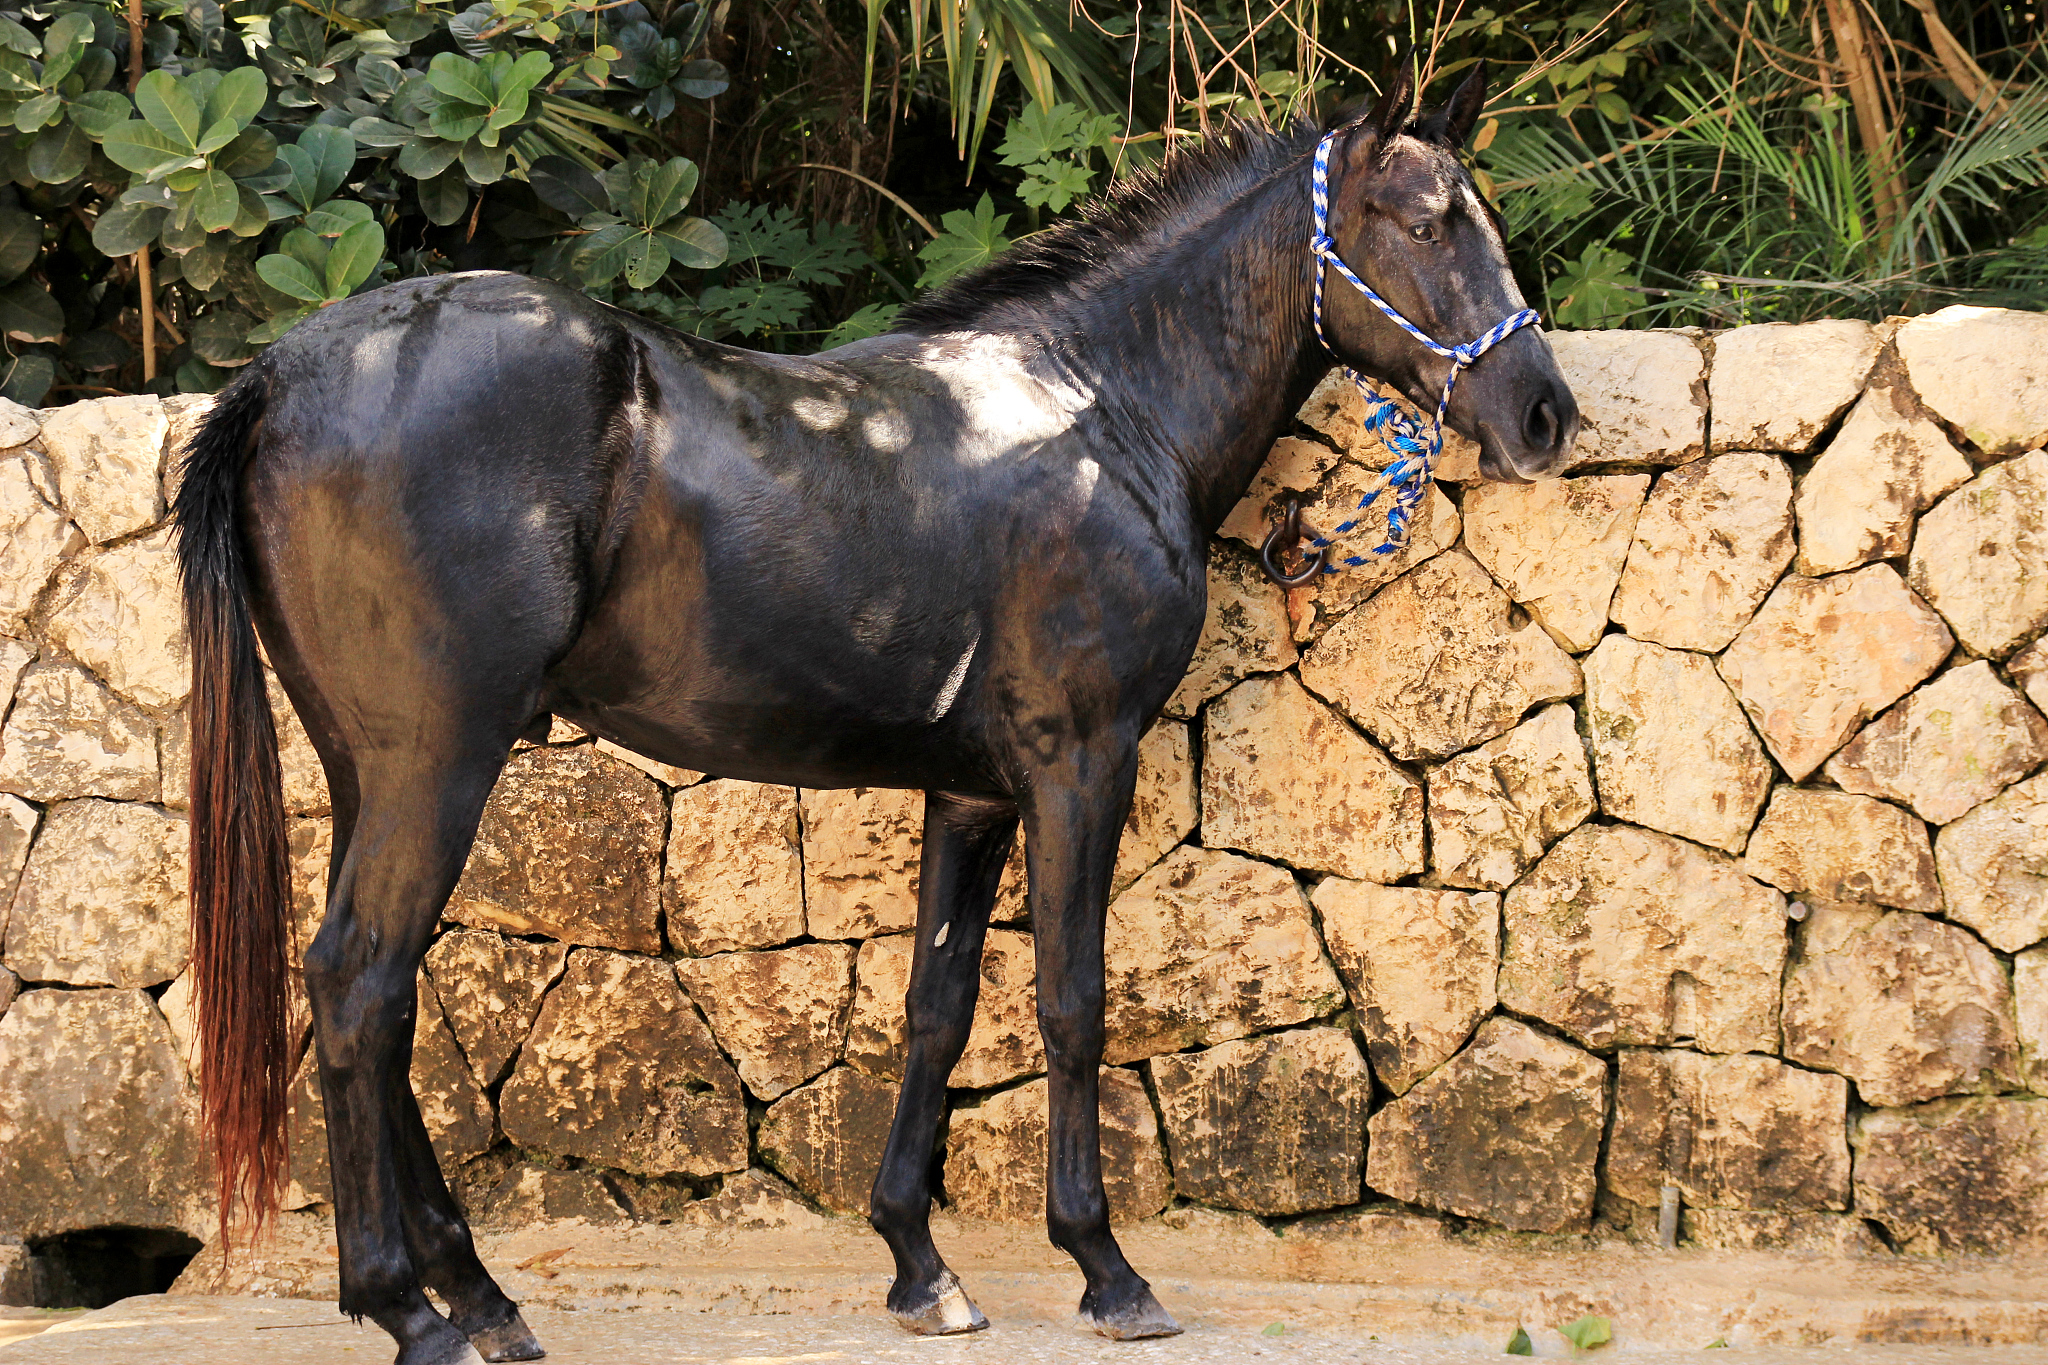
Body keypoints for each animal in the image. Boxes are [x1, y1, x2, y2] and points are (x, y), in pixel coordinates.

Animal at [174, 58, 1577, 1365]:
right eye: (1425, 221)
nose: (1544, 414)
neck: (1099, 407)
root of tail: (285, 375)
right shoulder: (1081, 764)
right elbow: (1072, 1000)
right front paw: (1105, 1269)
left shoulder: (971, 792)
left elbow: (934, 1007)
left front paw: (918, 1263)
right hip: (436, 764)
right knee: (359, 985)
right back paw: (408, 1310)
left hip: (371, 768)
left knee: (379, 995)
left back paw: (479, 1295)